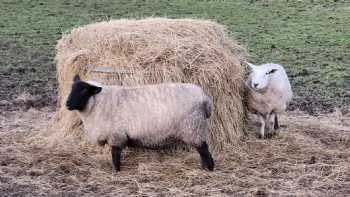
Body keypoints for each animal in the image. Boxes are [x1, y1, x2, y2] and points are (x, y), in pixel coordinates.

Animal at [64, 74, 215, 172]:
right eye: (72, 87)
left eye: (84, 90)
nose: (67, 104)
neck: (98, 103)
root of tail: (205, 98)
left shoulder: (116, 135)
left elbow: (115, 155)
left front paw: (116, 170)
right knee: (203, 149)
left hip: (193, 127)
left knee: (204, 149)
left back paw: (208, 169)